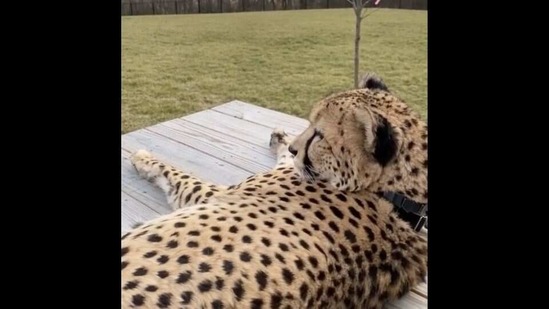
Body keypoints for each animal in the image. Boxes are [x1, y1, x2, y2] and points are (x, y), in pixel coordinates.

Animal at [121, 73, 428, 308]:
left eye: (319, 135)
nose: (295, 148)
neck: (395, 198)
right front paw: (282, 138)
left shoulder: (216, 194)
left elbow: (178, 175)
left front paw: (142, 158)